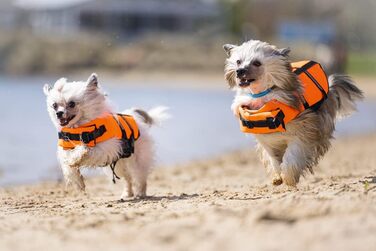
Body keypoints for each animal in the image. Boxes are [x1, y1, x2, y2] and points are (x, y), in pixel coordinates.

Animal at [223, 39, 364, 186]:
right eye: (238, 61)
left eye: (257, 63)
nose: (239, 71)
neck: (262, 96)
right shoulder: (267, 141)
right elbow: (273, 159)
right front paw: (277, 176)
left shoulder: (302, 132)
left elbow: (292, 155)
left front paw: (289, 177)